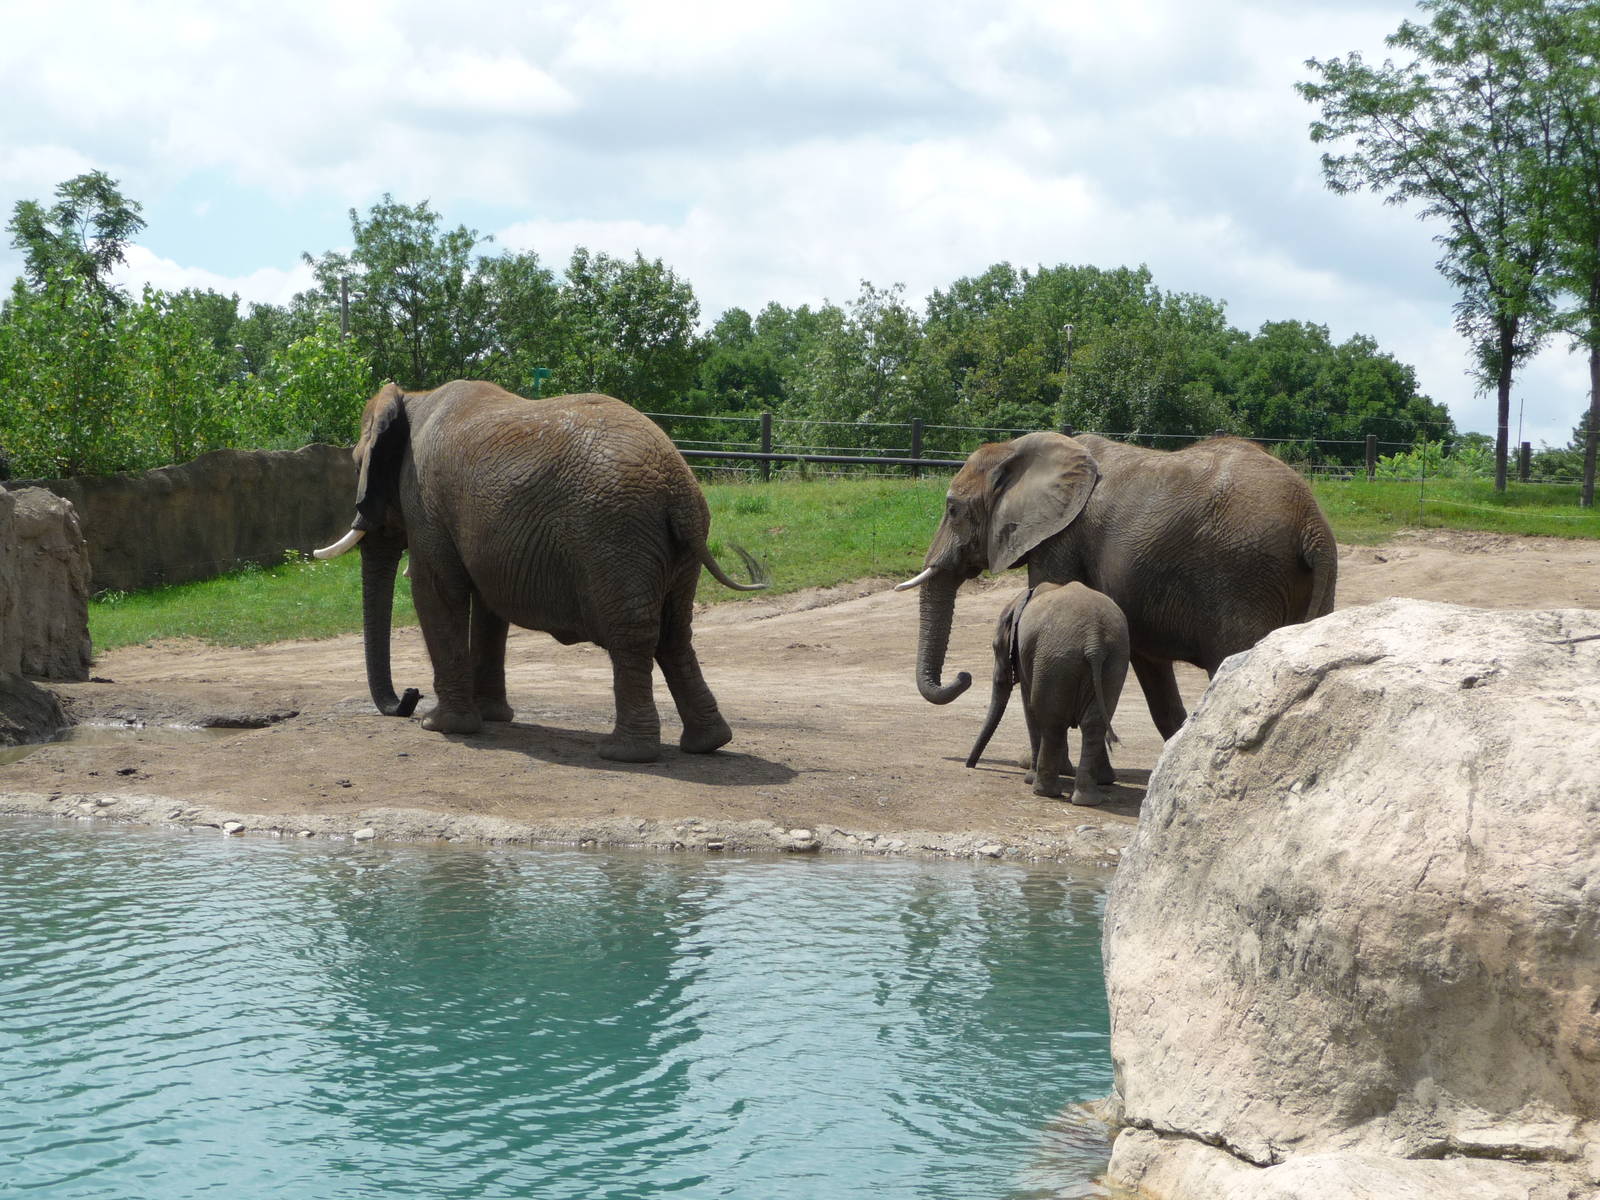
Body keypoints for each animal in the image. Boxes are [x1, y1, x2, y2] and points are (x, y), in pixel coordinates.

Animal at [311, 380, 768, 763]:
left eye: (358, 467)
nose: (409, 697)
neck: (412, 398)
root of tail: (678, 488)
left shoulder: (425, 502)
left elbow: (437, 591)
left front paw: (441, 726)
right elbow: (488, 606)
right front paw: (492, 717)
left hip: (615, 536)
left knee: (633, 637)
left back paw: (623, 754)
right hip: (673, 547)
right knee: (675, 635)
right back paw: (708, 743)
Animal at [897, 432, 1336, 739]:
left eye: (952, 509)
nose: (962, 677)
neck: (1017, 448)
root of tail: (1311, 524)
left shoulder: (1062, 539)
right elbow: (1149, 666)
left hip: (1243, 576)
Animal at [967, 581, 1130, 805]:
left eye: (994, 647)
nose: (970, 765)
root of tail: (1094, 640)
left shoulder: (1026, 658)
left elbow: (1029, 705)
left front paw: (1029, 778)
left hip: (1055, 658)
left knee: (1052, 721)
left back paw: (1043, 790)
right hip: (1113, 661)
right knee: (1093, 723)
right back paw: (1087, 799)